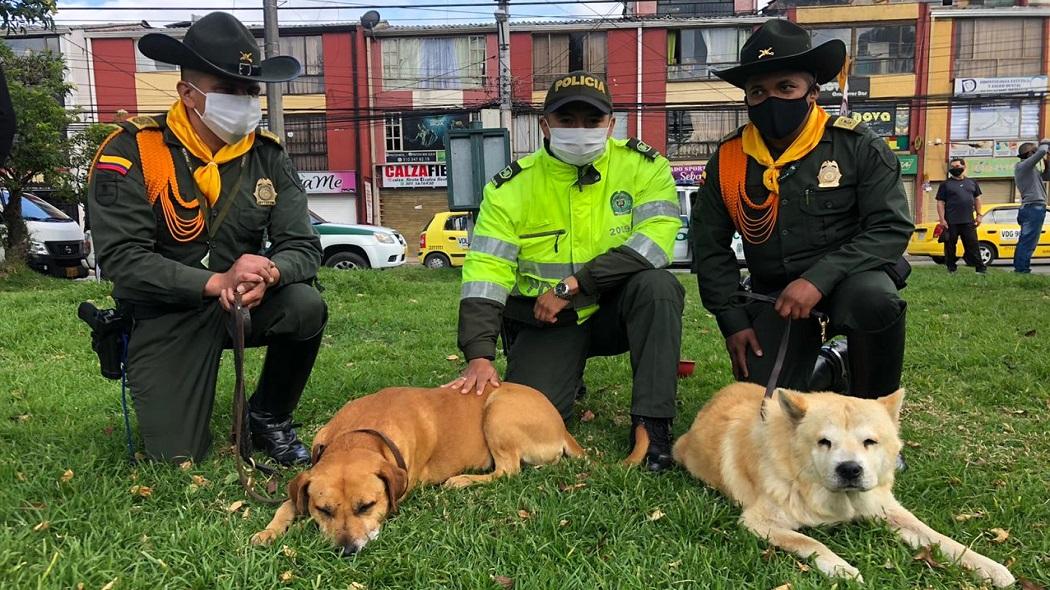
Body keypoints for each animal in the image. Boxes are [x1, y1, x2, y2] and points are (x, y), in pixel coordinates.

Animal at [250, 384, 588, 554]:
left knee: (508, 470)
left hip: (497, 408)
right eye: (324, 510)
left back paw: (462, 480)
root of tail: (562, 427)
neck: (357, 436)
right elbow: (286, 506)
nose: (347, 550)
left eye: (367, 506)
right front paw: (269, 532)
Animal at [676, 377, 1012, 583]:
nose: (850, 469)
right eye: (824, 442)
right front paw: (842, 569)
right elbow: (810, 541)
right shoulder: (757, 522)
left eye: (869, 442)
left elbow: (941, 539)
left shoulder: (886, 509)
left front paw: (991, 568)